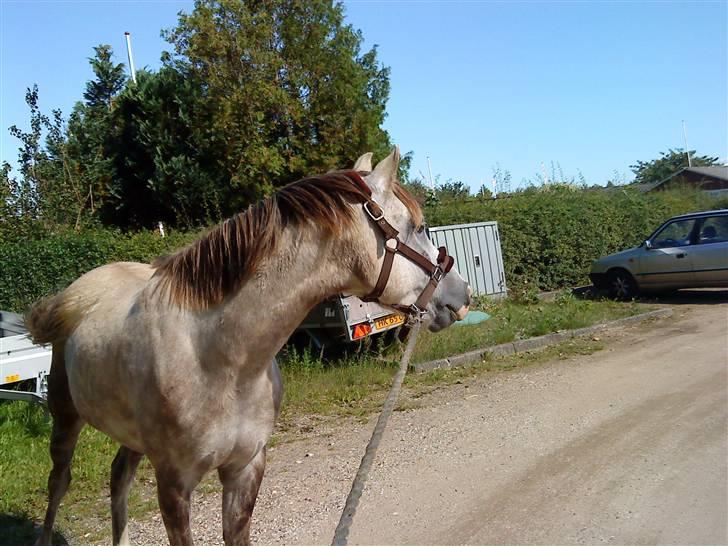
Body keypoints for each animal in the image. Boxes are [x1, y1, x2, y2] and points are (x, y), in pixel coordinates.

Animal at [25, 147, 472, 540]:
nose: (462, 294)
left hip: (130, 436)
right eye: (418, 226)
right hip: (65, 418)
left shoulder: (245, 470)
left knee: (119, 478)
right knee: (58, 483)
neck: (221, 361)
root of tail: (75, 293)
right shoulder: (174, 486)